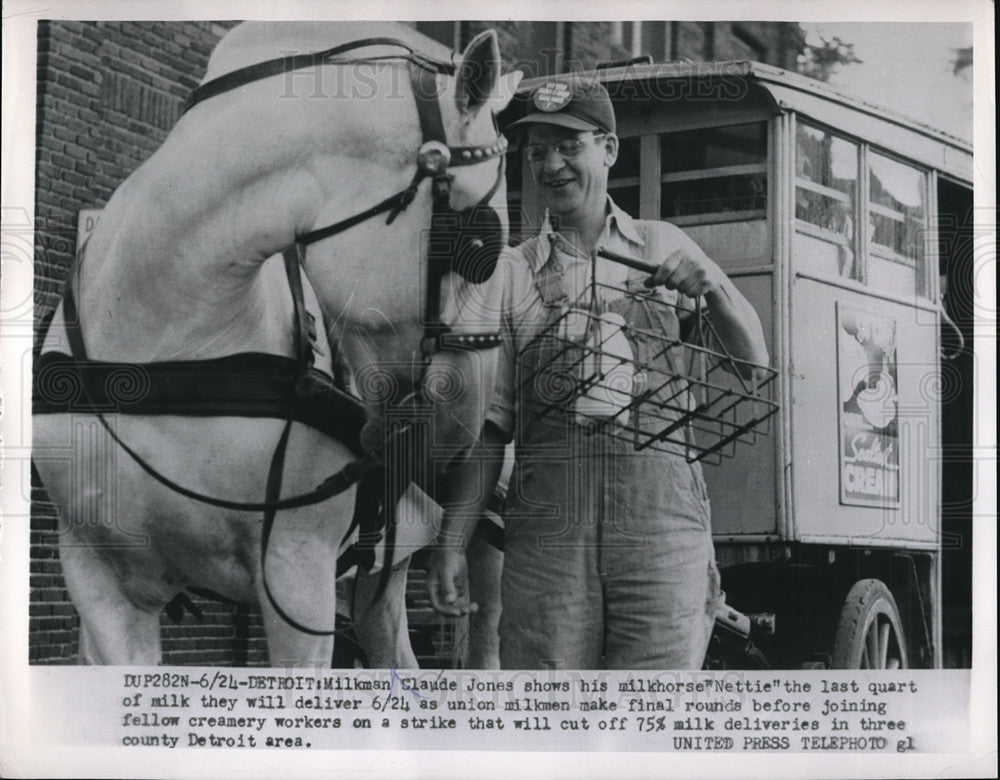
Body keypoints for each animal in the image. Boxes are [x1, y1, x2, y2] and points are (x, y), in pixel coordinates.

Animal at [31, 21, 520, 668]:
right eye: (483, 244)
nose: (465, 426)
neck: (166, 337)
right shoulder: (99, 578)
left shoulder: (298, 573)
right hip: (381, 575)